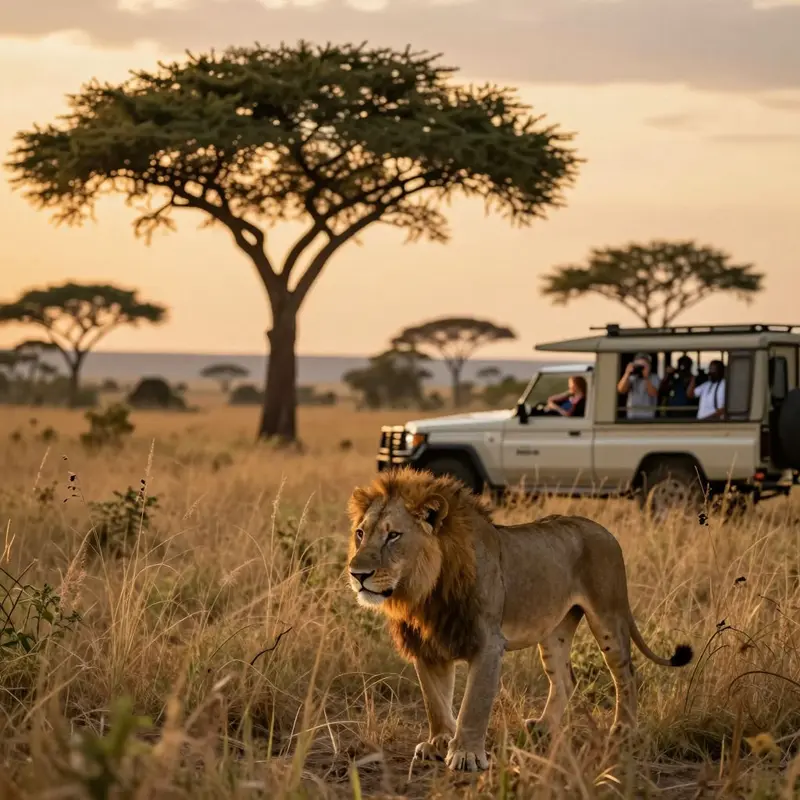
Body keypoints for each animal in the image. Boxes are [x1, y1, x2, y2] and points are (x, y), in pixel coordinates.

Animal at [346, 466, 693, 773]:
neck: (425, 593)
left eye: (393, 535)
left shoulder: (488, 642)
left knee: (627, 674)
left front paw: (465, 755)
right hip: (554, 631)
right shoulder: (427, 644)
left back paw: (624, 729)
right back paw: (543, 727)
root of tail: (605, 530)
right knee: (565, 680)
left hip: (609, 615)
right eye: (361, 533)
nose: (356, 574)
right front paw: (438, 742)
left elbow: (474, 703)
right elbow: (435, 700)